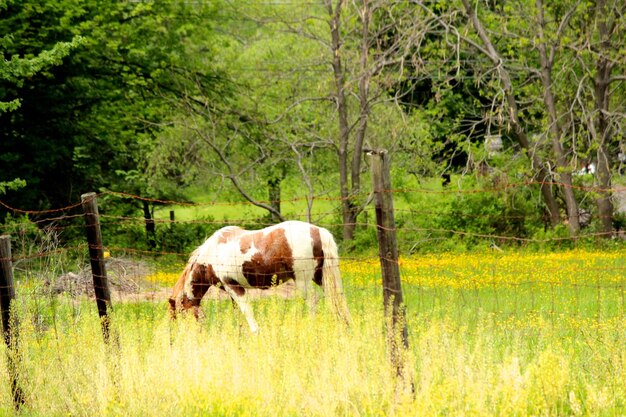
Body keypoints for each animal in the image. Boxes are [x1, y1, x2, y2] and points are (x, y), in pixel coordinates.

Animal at [168, 219, 348, 334]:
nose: (176, 336)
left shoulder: (233, 287)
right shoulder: (232, 291)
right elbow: (238, 313)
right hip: (320, 278)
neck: (212, 253)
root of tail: (318, 231)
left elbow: (246, 311)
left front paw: (255, 332)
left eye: (177, 314)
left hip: (303, 281)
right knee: (336, 300)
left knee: (312, 302)